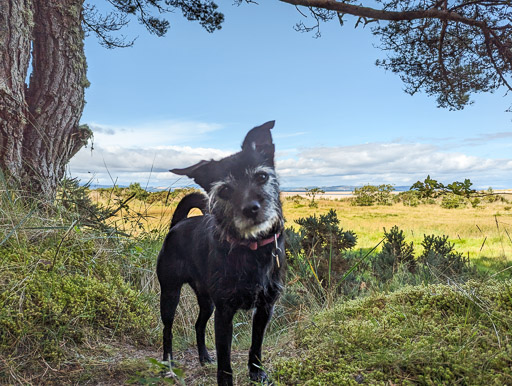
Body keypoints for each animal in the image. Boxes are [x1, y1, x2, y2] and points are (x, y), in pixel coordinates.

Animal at [156, 120, 284, 382]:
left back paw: (204, 357)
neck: (251, 250)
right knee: (167, 330)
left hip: (206, 301)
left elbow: (256, 345)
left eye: (262, 176)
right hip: (170, 294)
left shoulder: (265, 308)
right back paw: (167, 364)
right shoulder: (225, 313)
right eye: (224, 190)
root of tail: (177, 225)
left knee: (198, 324)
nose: (251, 208)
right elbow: (225, 362)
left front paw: (257, 373)